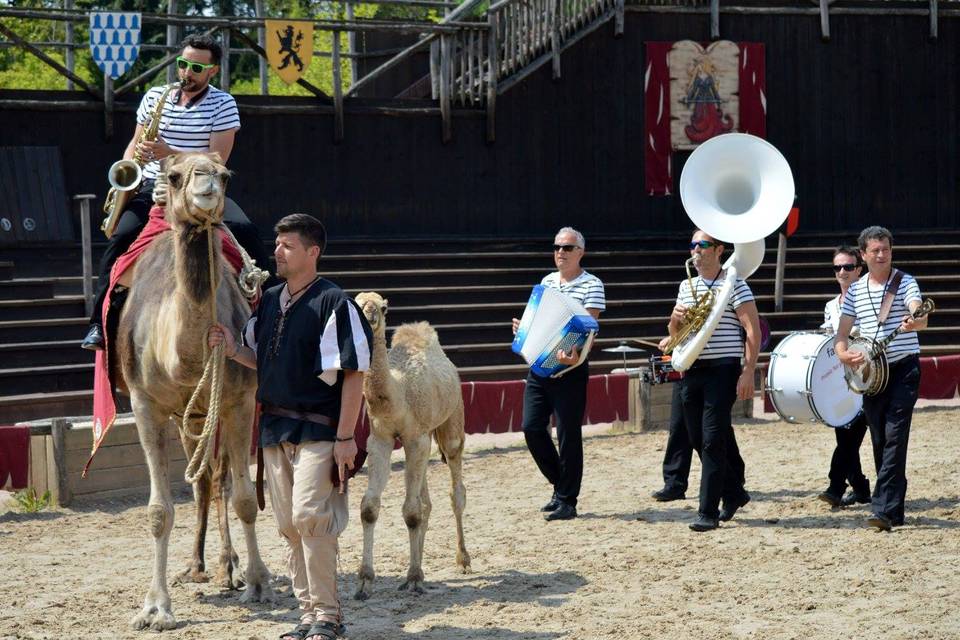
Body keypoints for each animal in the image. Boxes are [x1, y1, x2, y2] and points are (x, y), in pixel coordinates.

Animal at [117, 154, 274, 632]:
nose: (206, 185)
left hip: (210, 411)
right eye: (172, 175)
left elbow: (245, 498)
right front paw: (155, 608)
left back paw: (227, 568)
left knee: (219, 479)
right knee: (203, 480)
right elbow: (158, 510)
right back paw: (197, 566)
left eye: (225, 175)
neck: (183, 357)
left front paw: (259, 582)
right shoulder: (145, 404)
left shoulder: (239, 401)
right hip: (188, 415)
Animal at [352, 292, 472, 600]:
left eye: (383, 307)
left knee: (456, 491)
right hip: (426, 436)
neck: (397, 392)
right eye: (356, 302)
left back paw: (463, 560)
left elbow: (411, 511)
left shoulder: (415, 437)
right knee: (426, 502)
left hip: (452, 421)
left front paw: (415, 578)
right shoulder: (380, 439)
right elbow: (370, 507)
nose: (369, 317)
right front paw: (364, 582)